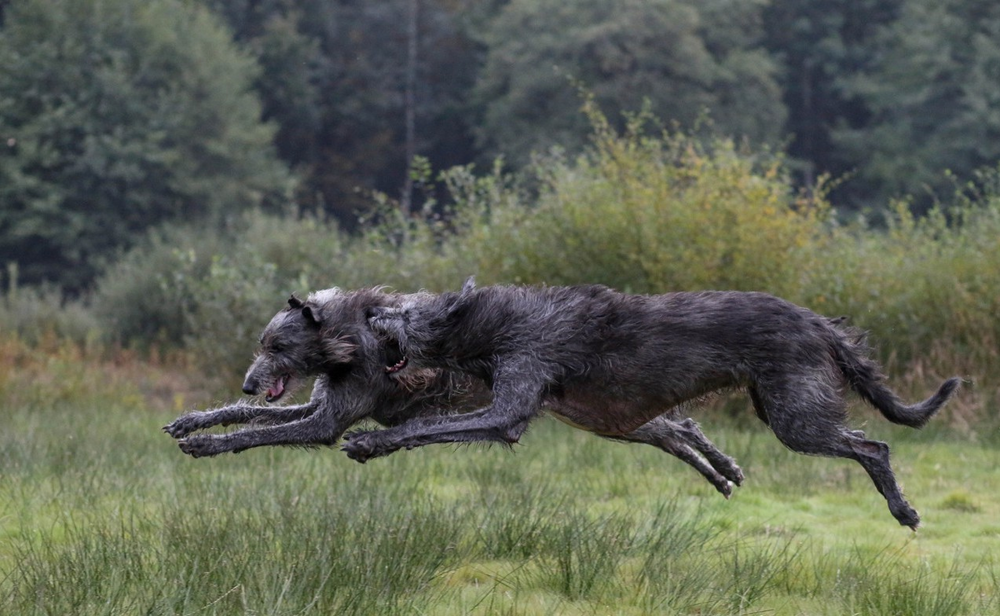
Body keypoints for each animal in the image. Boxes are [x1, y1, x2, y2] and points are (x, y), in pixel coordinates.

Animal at [162, 288, 744, 496]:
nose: (250, 380)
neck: (348, 337)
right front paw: (194, 421)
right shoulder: (323, 402)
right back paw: (721, 471)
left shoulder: (328, 420)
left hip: (601, 410)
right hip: (606, 415)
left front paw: (206, 445)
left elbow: (255, 433)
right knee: (675, 427)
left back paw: (722, 468)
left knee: (677, 426)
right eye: (262, 344)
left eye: (278, 345)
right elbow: (244, 414)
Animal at [348, 276, 964, 528]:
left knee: (875, 446)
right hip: (775, 403)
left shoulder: (514, 394)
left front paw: (371, 442)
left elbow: (429, 429)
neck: (495, 322)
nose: (368, 312)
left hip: (797, 418)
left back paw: (904, 510)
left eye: (404, 311)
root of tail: (820, 323)